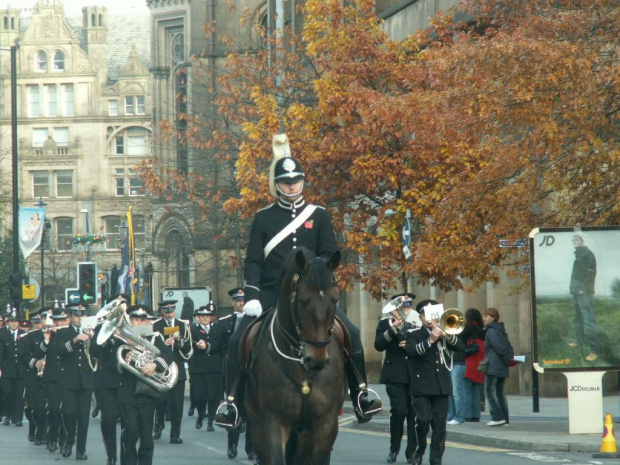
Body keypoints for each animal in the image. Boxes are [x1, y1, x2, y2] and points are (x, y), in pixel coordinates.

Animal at [243, 248, 348, 462]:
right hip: (257, 422)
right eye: (302, 301)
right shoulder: (275, 421)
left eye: (335, 299)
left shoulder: (324, 424)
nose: (316, 359)